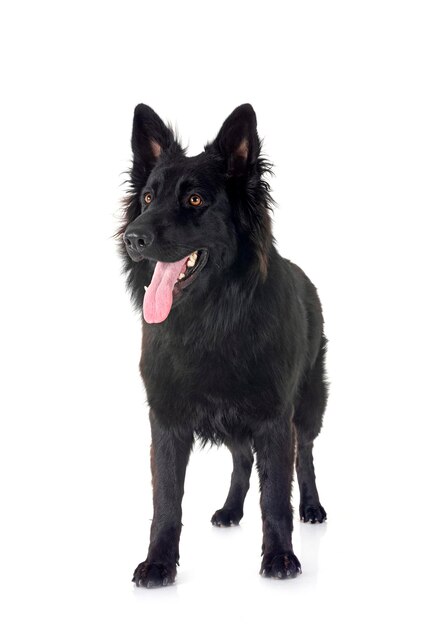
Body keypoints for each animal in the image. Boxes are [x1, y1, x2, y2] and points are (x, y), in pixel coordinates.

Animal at [118, 102, 328, 584]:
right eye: (148, 198)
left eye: (195, 200)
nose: (133, 237)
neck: (209, 322)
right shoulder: (167, 420)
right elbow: (166, 501)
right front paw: (158, 562)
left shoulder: (274, 418)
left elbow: (276, 496)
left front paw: (280, 557)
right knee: (241, 460)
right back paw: (231, 510)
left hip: (308, 406)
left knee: (304, 456)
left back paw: (311, 506)